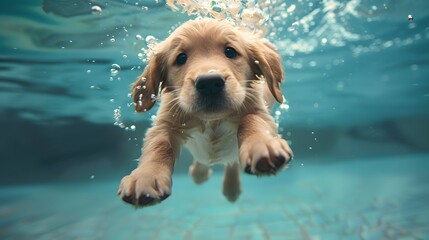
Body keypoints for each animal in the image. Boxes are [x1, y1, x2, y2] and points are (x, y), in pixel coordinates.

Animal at [117, 17, 290, 207]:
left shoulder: (258, 110)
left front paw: (263, 145)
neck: (212, 120)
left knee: (231, 163)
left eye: (230, 51)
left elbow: (252, 120)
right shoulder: (165, 122)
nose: (209, 83)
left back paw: (231, 188)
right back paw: (200, 173)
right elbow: (159, 145)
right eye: (181, 58)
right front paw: (146, 176)